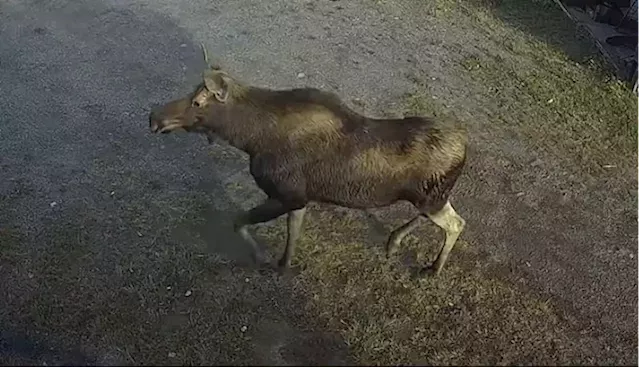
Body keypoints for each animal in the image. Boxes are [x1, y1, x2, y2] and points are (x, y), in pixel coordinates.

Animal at [150, 46, 470, 276]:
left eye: (198, 102)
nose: (154, 117)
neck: (250, 138)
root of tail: (465, 146)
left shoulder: (286, 194)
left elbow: (239, 221)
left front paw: (261, 256)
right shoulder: (300, 198)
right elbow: (292, 236)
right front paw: (283, 265)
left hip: (433, 198)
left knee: (457, 223)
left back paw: (432, 268)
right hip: (431, 196)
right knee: (437, 217)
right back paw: (394, 241)